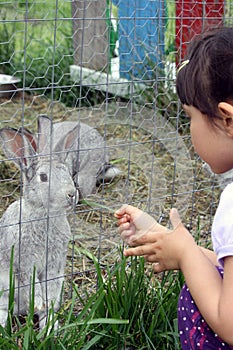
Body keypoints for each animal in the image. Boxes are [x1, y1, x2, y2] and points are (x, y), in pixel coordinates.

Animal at [0, 115, 78, 328]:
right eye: (43, 177)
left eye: (68, 173)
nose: (72, 194)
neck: (45, 214)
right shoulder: (25, 263)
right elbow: (32, 284)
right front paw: (40, 302)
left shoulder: (54, 265)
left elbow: (50, 287)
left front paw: (47, 305)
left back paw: (52, 328)